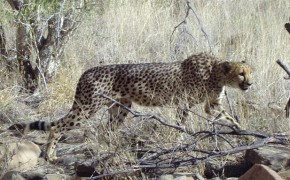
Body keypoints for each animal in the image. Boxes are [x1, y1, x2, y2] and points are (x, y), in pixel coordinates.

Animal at [11, 52, 251, 160]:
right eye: (241, 73)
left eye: (250, 72)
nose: (250, 84)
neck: (216, 73)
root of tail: (87, 71)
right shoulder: (184, 104)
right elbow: (183, 125)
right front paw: (179, 141)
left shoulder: (211, 105)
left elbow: (229, 117)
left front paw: (244, 133)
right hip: (88, 107)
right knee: (57, 126)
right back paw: (50, 155)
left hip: (120, 108)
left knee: (105, 130)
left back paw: (110, 149)